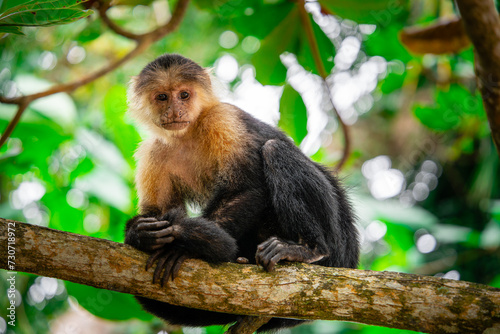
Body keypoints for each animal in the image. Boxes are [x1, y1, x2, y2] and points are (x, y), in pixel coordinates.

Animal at [125, 53, 360, 330]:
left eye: (184, 95)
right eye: (162, 97)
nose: (175, 110)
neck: (187, 134)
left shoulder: (223, 120)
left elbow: (247, 188)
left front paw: (181, 247)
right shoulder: (153, 152)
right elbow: (158, 211)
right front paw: (142, 235)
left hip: (338, 244)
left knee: (275, 150)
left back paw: (310, 249)